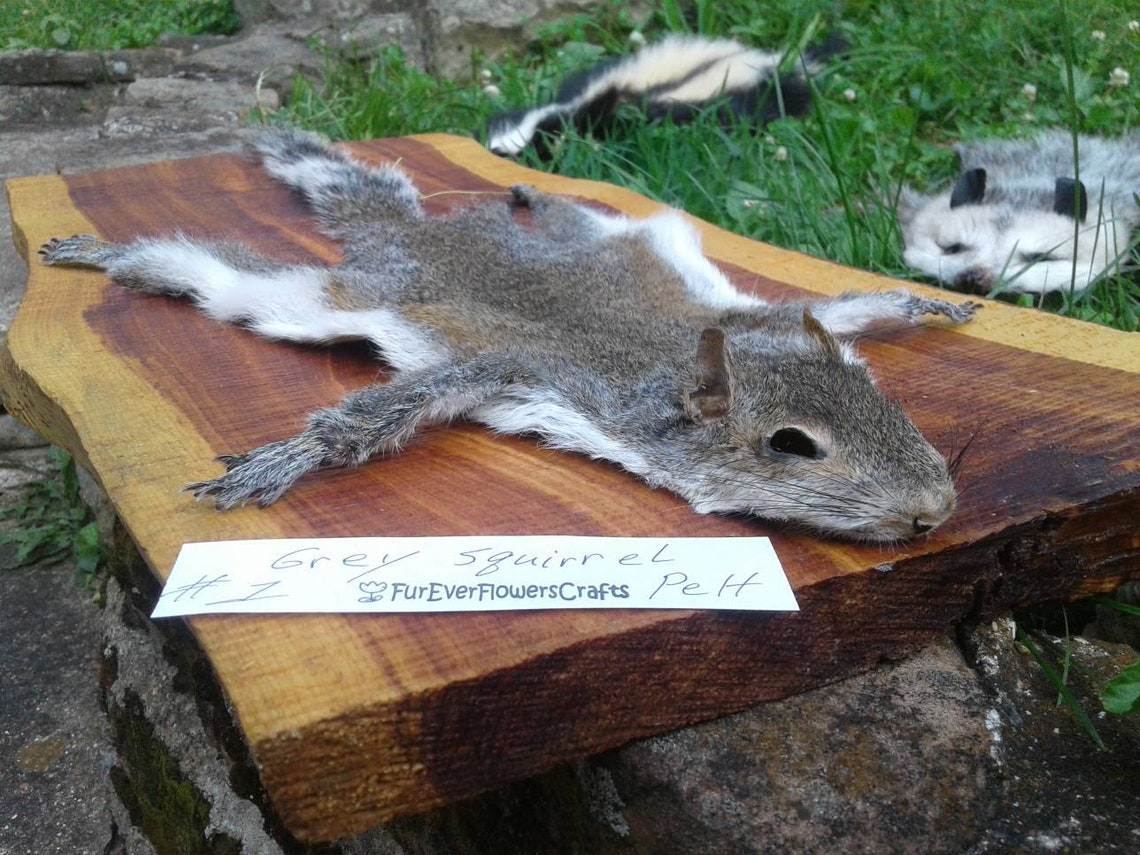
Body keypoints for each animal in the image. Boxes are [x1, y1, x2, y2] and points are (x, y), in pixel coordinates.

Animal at [40, 127, 978, 542]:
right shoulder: (517, 370)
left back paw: (529, 191)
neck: (661, 369)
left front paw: (919, 302)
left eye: (883, 400)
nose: (935, 510)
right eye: (792, 444)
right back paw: (101, 251)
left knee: (564, 210)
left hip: (604, 231)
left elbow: (844, 304)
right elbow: (373, 416)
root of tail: (413, 236)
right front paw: (283, 459)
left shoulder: (756, 318)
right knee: (204, 266)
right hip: (319, 296)